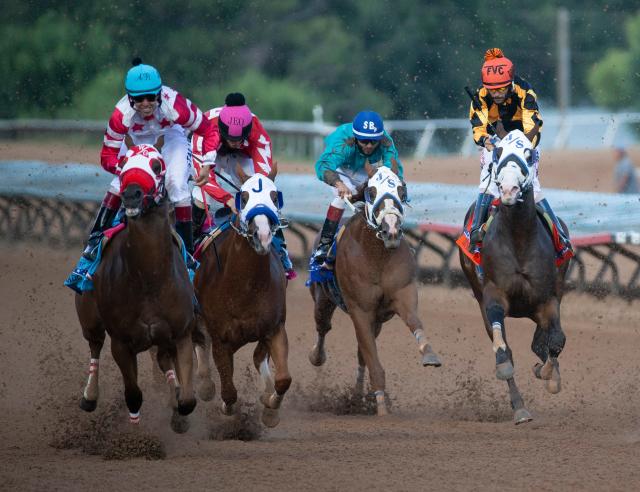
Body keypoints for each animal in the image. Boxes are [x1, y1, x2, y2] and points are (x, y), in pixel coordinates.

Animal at [75, 141, 196, 430]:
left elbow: (188, 399)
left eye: (157, 165)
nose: (130, 194)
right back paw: (89, 396)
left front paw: (178, 413)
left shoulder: (181, 334)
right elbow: (133, 394)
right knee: (95, 346)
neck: (149, 277)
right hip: (89, 317)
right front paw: (135, 433)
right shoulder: (121, 342)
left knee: (164, 362)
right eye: (123, 163)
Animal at [191, 163, 288, 428]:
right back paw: (204, 384)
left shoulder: (274, 328)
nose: (262, 235)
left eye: (275, 196)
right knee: (199, 343)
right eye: (243, 197)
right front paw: (228, 408)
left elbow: (283, 379)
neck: (244, 287)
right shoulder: (221, 339)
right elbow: (229, 391)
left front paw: (271, 410)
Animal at [308, 161, 440, 416]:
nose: (392, 230)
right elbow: (372, 358)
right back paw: (317, 356)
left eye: (401, 189)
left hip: (376, 321)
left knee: (362, 354)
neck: (376, 255)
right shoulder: (360, 310)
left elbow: (414, 321)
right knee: (323, 327)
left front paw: (429, 353)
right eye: (371, 191)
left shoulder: (402, 293)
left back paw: (358, 397)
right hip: (323, 298)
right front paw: (381, 407)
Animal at [460, 130, 568, 422]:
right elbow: (503, 350)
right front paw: (508, 369)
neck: (519, 237)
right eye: (498, 152)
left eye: (528, 155)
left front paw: (548, 374)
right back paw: (519, 407)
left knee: (544, 340)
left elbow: (556, 341)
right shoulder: (494, 295)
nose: (508, 190)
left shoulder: (547, 300)